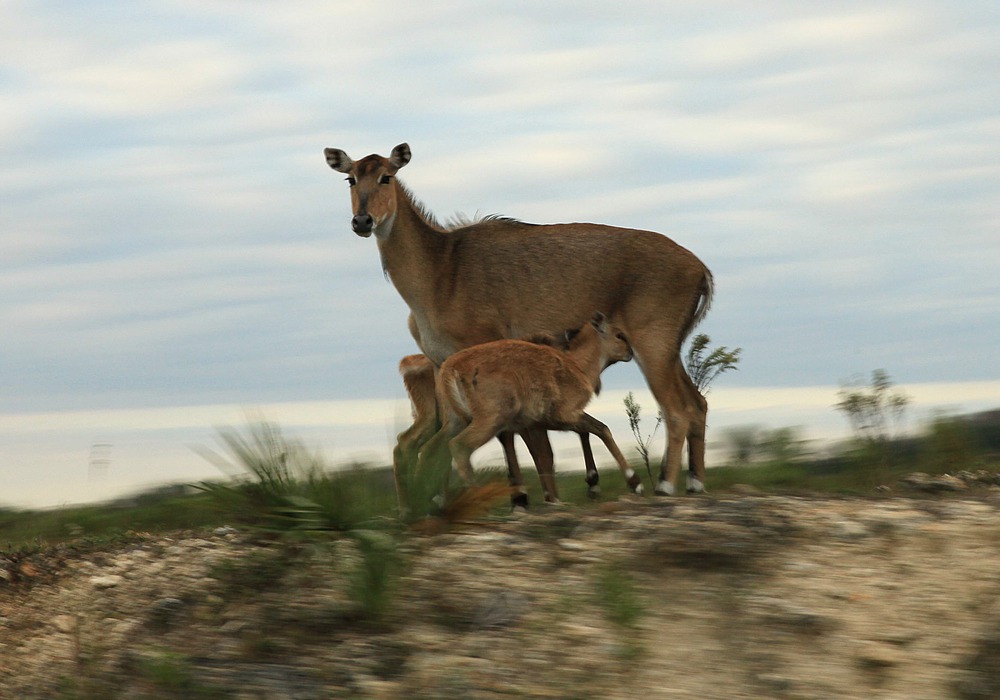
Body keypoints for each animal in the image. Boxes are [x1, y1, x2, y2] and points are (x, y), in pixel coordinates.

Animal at [322, 144, 712, 492]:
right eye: (351, 178)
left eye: (386, 176)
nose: (363, 220)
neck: (440, 270)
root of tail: (699, 268)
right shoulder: (441, 363)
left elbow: (520, 439)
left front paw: (522, 497)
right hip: (668, 350)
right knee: (698, 403)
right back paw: (694, 483)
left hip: (652, 345)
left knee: (677, 409)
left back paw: (664, 486)